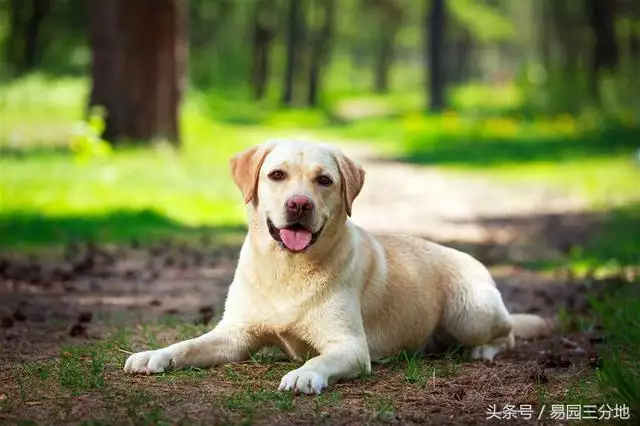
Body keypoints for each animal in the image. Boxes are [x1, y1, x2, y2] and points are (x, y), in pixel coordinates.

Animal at [124, 141, 552, 394]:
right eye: (276, 175)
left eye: (324, 180)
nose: (299, 204)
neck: (287, 269)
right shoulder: (235, 334)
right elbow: (188, 344)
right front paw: (154, 354)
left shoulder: (350, 346)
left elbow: (320, 358)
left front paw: (304, 373)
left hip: (470, 314)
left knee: (508, 333)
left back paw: (484, 350)